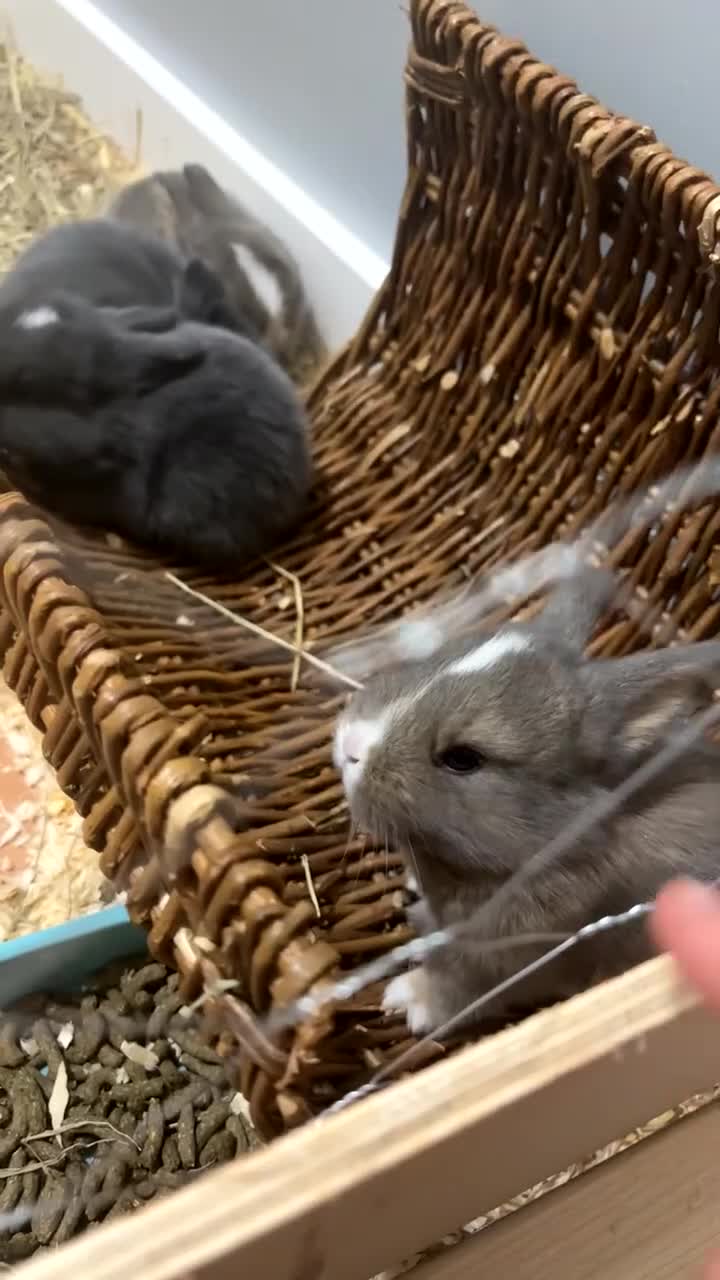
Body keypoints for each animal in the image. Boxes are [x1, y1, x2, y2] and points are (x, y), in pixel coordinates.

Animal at [333, 567, 720, 1036]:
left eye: (463, 758)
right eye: (442, 654)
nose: (351, 745)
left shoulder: (505, 960)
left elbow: (459, 988)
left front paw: (408, 999)